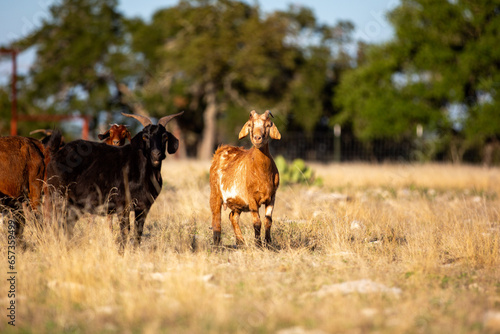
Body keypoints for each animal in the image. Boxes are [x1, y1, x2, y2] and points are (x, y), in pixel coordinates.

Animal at [46, 111, 184, 252]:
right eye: (145, 137)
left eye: (165, 137)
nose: (157, 154)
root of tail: (56, 154)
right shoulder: (122, 205)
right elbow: (125, 231)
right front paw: (122, 253)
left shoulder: (144, 207)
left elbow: (138, 232)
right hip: (58, 197)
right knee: (57, 224)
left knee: (67, 224)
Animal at [210, 111, 284, 247]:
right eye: (250, 125)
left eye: (268, 125)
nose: (257, 138)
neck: (261, 172)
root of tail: (220, 150)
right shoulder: (251, 197)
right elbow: (257, 222)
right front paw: (258, 244)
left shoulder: (272, 196)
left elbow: (268, 221)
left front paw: (268, 243)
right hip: (215, 193)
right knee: (216, 217)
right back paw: (217, 243)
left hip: (237, 202)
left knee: (232, 216)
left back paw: (240, 241)